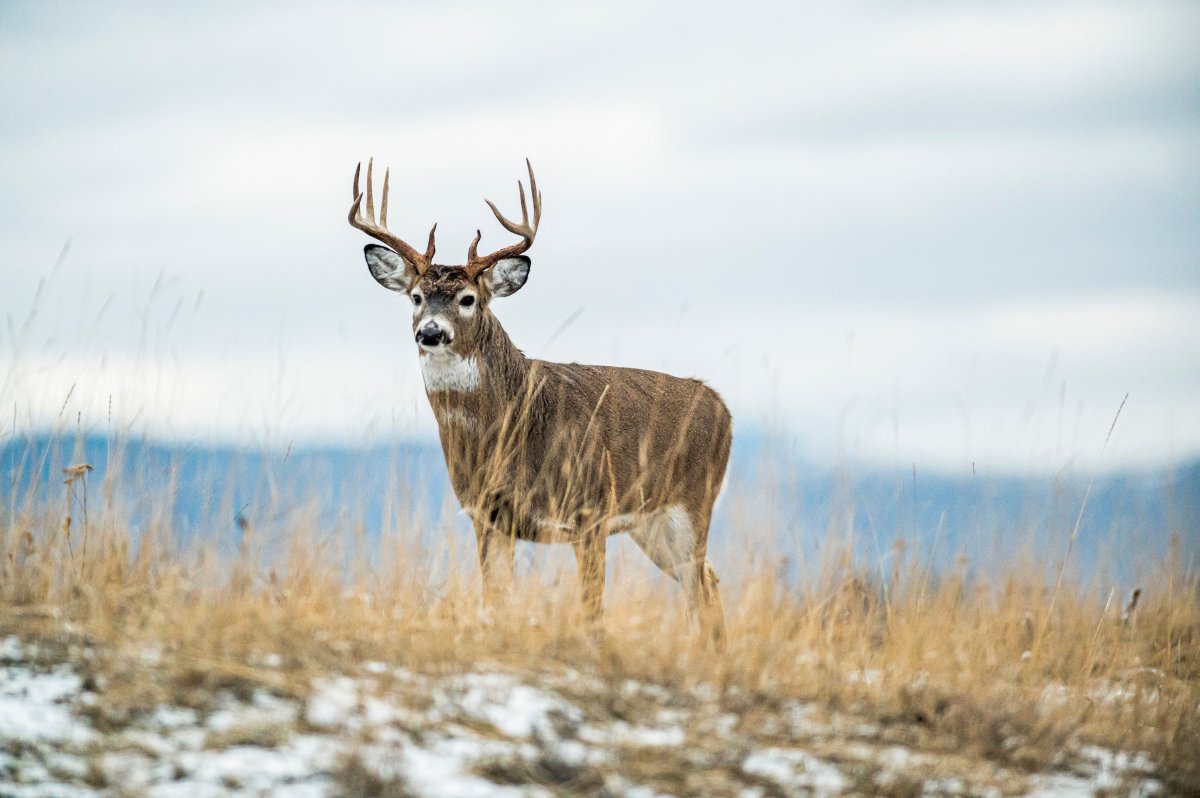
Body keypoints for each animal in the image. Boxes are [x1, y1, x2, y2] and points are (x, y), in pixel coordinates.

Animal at [347, 159, 731, 640]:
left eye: (468, 299)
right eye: (416, 297)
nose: (431, 332)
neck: (512, 426)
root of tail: (722, 406)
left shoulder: (589, 509)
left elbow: (592, 611)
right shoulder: (487, 517)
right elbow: (494, 602)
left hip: (692, 504)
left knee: (702, 587)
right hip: (652, 524)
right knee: (707, 584)